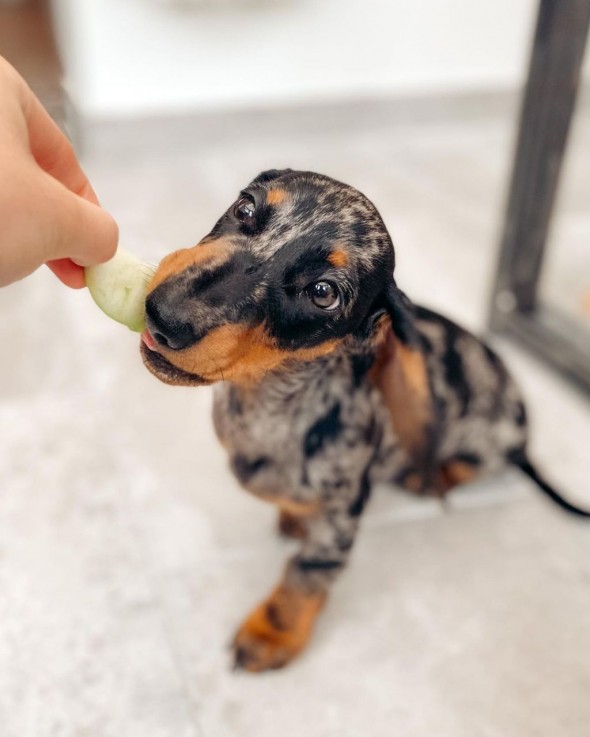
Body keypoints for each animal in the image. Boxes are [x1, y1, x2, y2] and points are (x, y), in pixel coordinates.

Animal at [141, 168, 588, 672]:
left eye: (323, 293)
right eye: (245, 208)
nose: (163, 315)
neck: (266, 400)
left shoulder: (344, 509)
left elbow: (307, 572)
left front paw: (272, 633)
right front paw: (295, 517)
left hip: (491, 443)